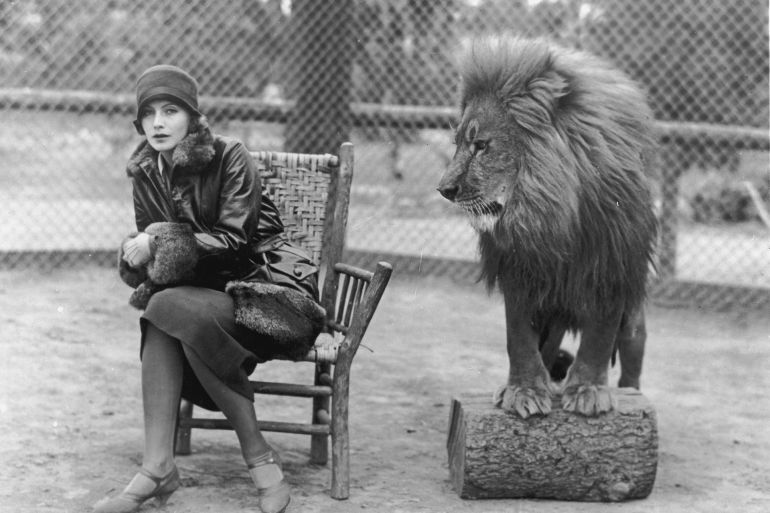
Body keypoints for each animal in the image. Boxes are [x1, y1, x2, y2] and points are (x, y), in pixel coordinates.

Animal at [437, 36, 657, 418]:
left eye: (481, 146)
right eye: (458, 144)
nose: (444, 189)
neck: (551, 214)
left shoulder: (610, 270)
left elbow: (599, 339)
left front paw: (588, 392)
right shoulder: (520, 270)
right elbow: (519, 339)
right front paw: (523, 392)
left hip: (632, 322)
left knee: (631, 357)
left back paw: (629, 392)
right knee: (547, 346)